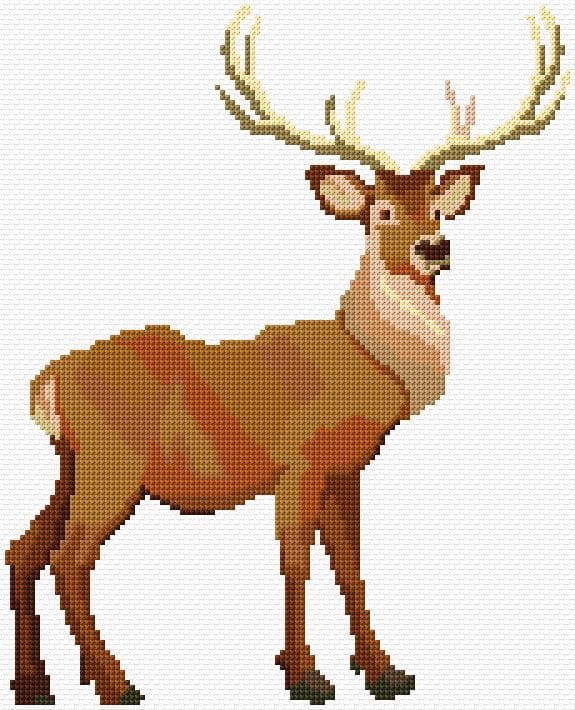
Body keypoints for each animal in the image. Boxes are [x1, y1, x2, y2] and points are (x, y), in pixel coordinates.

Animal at [5, 4, 569, 706]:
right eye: (382, 212)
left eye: (439, 209)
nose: (434, 248)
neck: (370, 365)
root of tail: (44, 384)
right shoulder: (300, 457)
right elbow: (295, 560)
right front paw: (304, 674)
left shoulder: (348, 466)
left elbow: (351, 565)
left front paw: (384, 670)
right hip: (114, 461)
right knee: (68, 561)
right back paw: (116, 683)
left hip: (71, 462)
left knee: (24, 549)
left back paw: (35, 682)